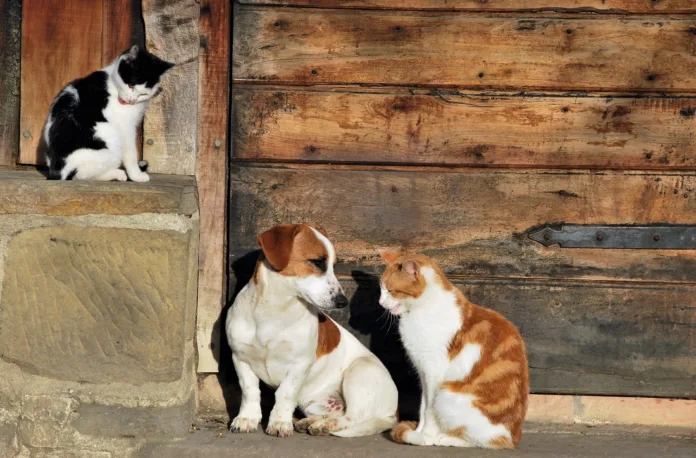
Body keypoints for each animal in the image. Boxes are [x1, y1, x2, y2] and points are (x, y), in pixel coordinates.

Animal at [44, 45, 174, 182]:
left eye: (143, 94)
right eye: (130, 85)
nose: (131, 100)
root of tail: (57, 169)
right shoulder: (126, 128)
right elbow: (131, 154)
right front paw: (136, 175)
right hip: (112, 143)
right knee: (81, 174)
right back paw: (118, 174)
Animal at [227, 224, 396, 438]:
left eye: (333, 266)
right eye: (317, 262)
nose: (343, 301)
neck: (273, 312)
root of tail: (393, 415)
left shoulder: (299, 365)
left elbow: (285, 394)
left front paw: (280, 422)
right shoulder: (240, 358)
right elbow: (250, 391)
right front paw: (247, 418)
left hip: (358, 373)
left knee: (351, 418)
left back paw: (324, 426)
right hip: (315, 403)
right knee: (339, 413)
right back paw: (310, 422)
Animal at [380, 250, 528, 448]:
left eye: (391, 290)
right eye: (381, 289)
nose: (380, 302)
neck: (421, 310)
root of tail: (515, 438)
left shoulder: (434, 372)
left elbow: (429, 410)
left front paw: (426, 436)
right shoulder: (423, 372)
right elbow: (423, 405)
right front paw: (419, 431)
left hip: (447, 394)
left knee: (487, 441)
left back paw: (444, 438)